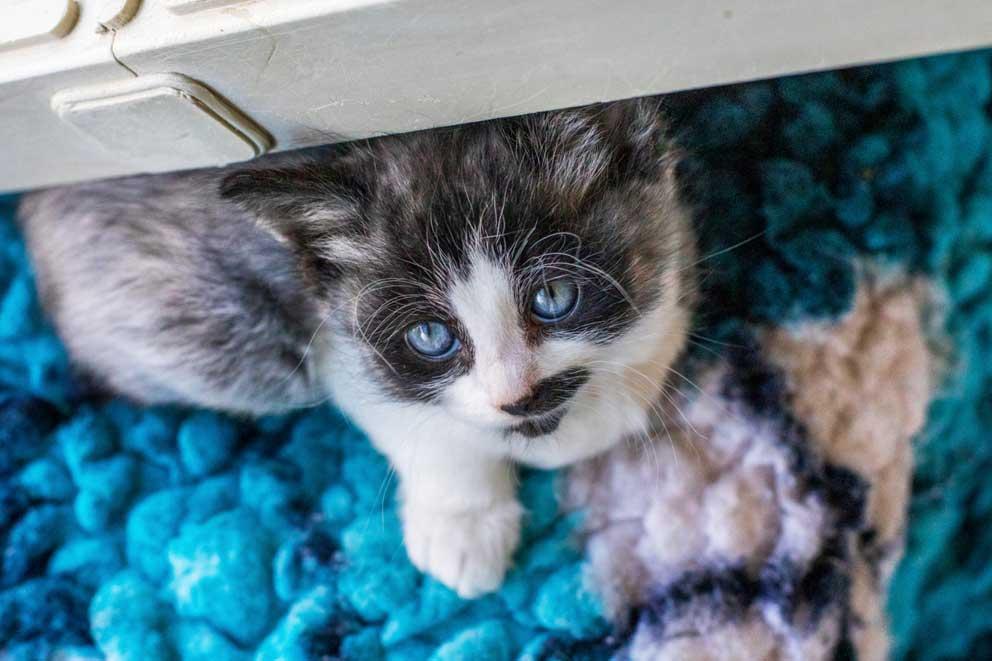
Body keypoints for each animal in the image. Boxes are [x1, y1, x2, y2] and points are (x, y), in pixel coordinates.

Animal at [19, 99, 692, 600]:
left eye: (553, 296)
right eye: (431, 337)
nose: (516, 396)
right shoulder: (329, 334)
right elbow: (410, 418)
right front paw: (464, 524)